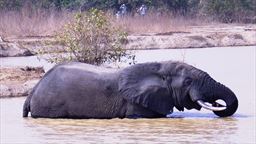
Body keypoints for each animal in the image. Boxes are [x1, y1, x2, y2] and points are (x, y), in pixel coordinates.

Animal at [23, 61, 239, 118]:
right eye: (187, 81)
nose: (217, 102)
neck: (160, 68)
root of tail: (33, 90)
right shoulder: (137, 103)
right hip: (50, 105)